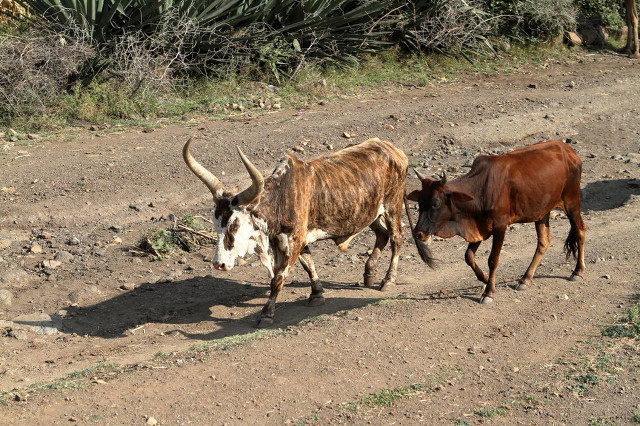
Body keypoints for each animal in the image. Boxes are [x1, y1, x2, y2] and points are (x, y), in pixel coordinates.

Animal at [182, 136, 408, 326]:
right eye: (216, 223)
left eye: (234, 224)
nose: (218, 264)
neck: (282, 197)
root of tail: (392, 149)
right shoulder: (286, 240)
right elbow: (308, 265)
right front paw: (316, 294)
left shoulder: (294, 240)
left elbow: (278, 278)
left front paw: (266, 314)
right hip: (371, 212)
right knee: (382, 234)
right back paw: (369, 273)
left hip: (393, 205)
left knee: (396, 238)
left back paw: (388, 280)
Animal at [410, 140, 584, 302]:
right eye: (420, 202)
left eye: (435, 203)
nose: (418, 234)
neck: (480, 191)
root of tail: (568, 150)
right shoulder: (480, 227)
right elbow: (468, 256)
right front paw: (485, 278)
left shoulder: (500, 226)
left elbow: (493, 260)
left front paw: (489, 292)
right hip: (542, 212)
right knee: (543, 241)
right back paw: (525, 279)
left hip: (571, 201)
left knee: (580, 231)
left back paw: (577, 271)